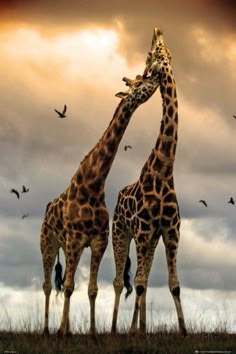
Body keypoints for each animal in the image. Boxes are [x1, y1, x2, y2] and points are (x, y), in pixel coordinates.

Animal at [41, 63, 162, 334]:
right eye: (139, 82)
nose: (158, 77)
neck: (93, 184)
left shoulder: (98, 241)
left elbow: (91, 289)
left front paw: (94, 333)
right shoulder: (76, 240)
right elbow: (68, 287)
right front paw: (63, 333)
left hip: (65, 245)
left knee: (64, 282)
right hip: (48, 242)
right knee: (48, 286)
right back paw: (47, 331)